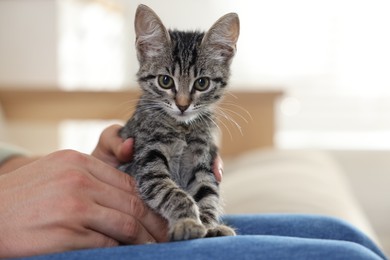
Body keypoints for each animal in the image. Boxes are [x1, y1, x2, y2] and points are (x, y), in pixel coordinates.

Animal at [119, 4, 239, 241]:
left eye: (202, 83)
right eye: (165, 81)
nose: (183, 105)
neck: (183, 129)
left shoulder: (204, 162)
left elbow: (208, 194)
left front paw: (210, 225)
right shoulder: (148, 161)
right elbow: (173, 192)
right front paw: (188, 222)